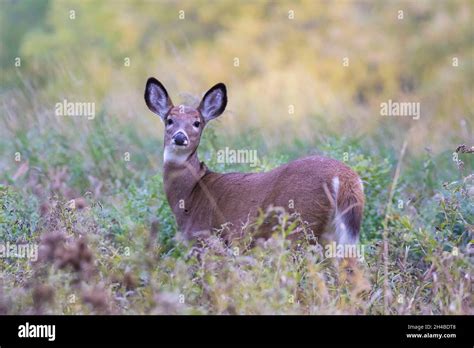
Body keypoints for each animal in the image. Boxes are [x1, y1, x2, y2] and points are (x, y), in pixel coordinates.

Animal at [144, 77, 370, 292]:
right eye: (169, 120)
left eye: (197, 122)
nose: (179, 137)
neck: (191, 194)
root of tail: (345, 177)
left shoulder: (204, 240)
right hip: (333, 233)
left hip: (300, 225)